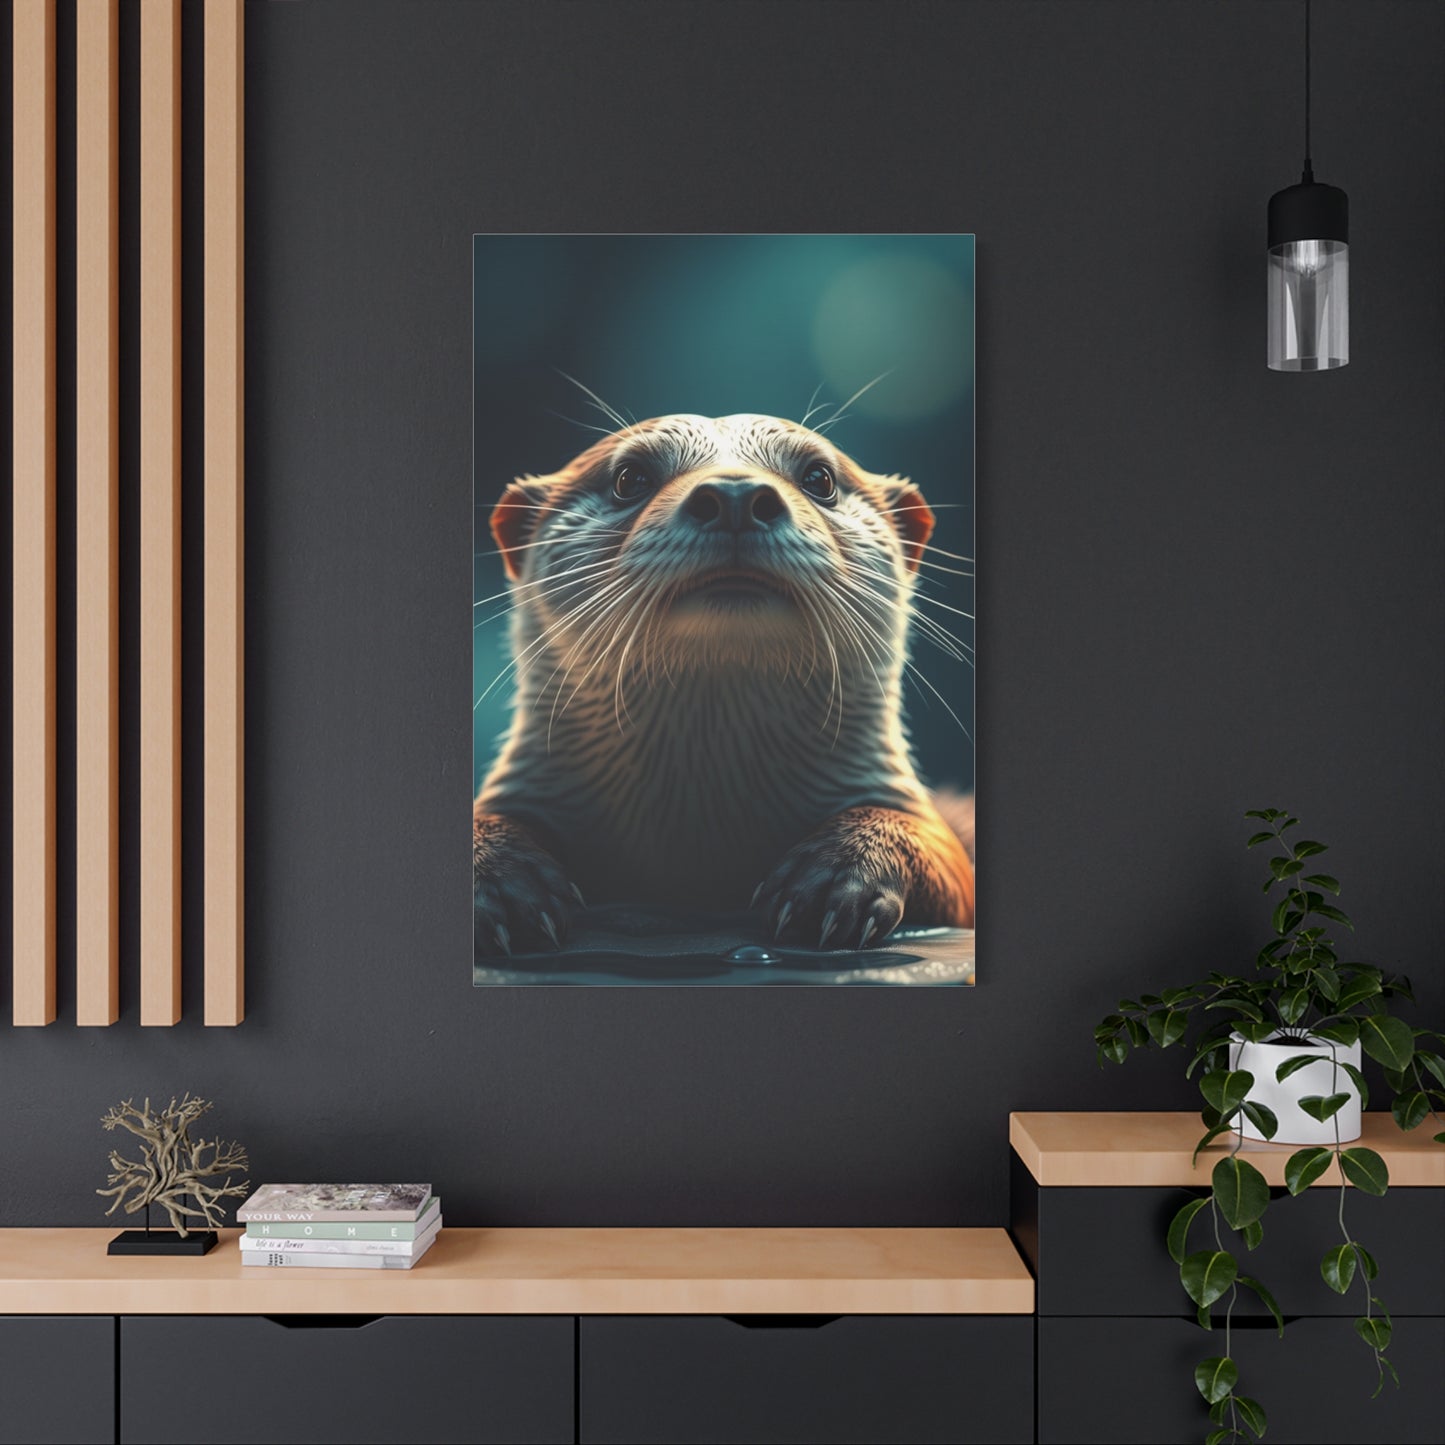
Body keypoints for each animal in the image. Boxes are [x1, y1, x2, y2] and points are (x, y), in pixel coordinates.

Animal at [473, 413, 974, 955]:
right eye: (630, 478)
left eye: (820, 478)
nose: (736, 494)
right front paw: (498, 880)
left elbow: (941, 852)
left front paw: (841, 874)